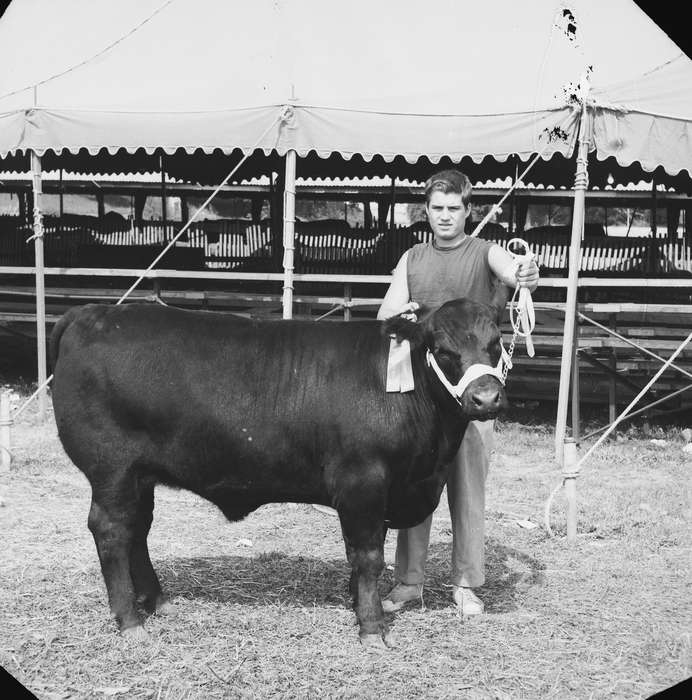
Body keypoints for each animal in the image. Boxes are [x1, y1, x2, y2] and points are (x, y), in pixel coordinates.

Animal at [49, 297, 507, 649]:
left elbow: (365, 554)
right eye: (442, 348)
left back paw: (159, 601)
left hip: (141, 476)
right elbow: (368, 557)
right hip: (113, 470)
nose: (486, 398)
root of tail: (91, 312)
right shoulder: (363, 483)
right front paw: (372, 628)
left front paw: (358, 605)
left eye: (496, 343)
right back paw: (130, 621)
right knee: (112, 531)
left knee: (137, 530)